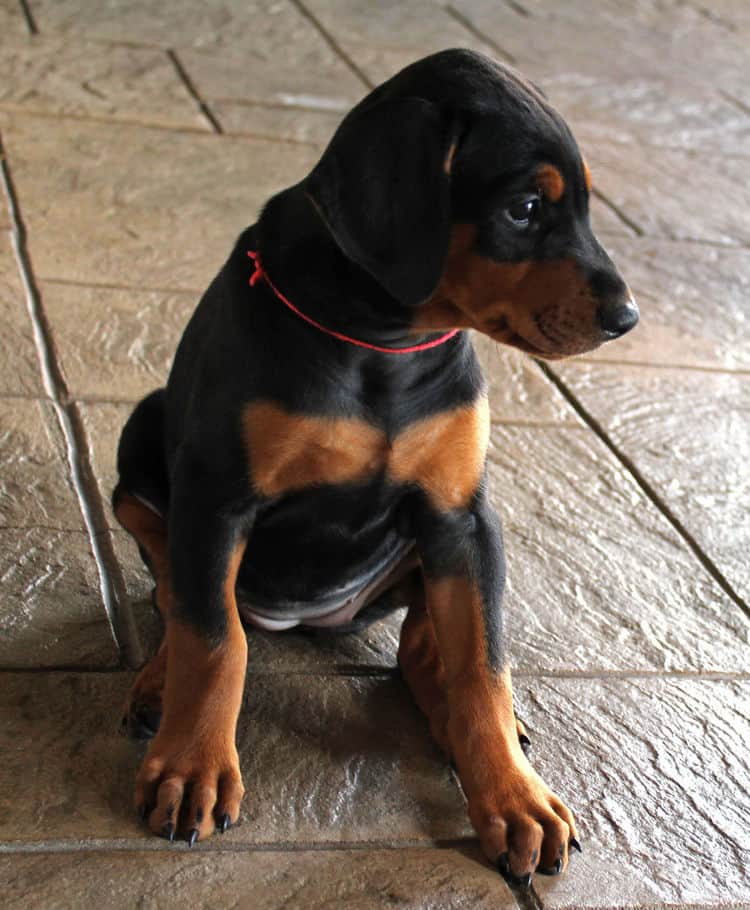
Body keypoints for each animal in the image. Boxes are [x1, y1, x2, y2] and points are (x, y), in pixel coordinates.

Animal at [113, 46, 640, 888]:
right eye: (525, 209)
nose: (627, 318)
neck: (386, 340)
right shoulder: (217, 497)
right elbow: (215, 636)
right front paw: (192, 768)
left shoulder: (462, 515)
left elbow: (483, 660)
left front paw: (514, 797)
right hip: (143, 433)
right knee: (178, 591)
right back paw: (158, 682)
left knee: (425, 640)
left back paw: (457, 717)